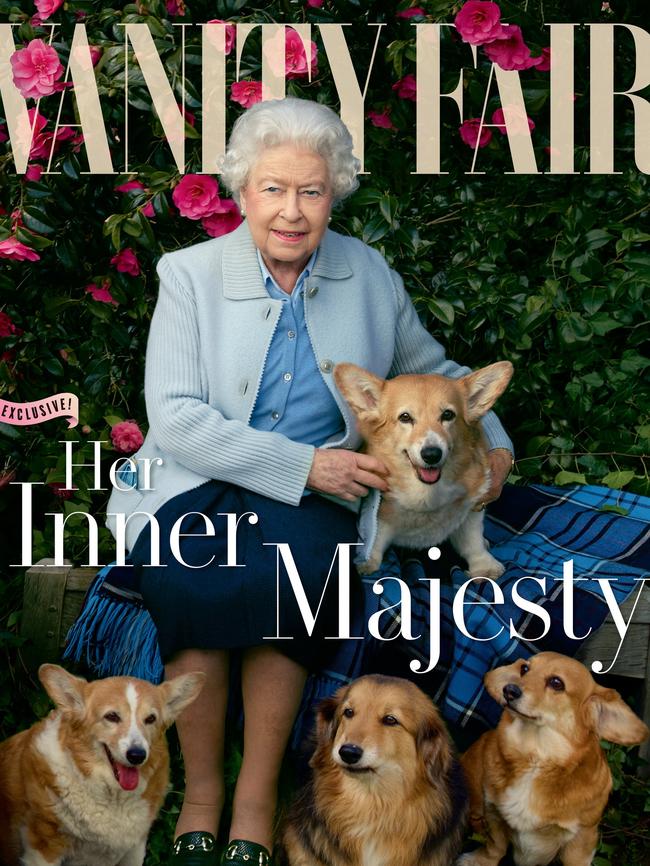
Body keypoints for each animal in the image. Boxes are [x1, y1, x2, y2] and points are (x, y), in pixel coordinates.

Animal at [0, 660, 202, 864]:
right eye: (112, 716)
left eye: (150, 719)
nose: (137, 755)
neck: (112, 796)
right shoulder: (43, 850)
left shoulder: (134, 851)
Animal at [334, 358, 512, 572]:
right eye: (405, 417)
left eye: (447, 415)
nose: (432, 454)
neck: (426, 493)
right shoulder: (381, 518)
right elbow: (375, 540)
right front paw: (367, 563)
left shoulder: (471, 507)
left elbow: (473, 540)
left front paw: (485, 566)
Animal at [458, 648, 644, 864]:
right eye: (524, 669)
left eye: (556, 683)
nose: (509, 690)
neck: (536, 758)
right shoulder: (494, 813)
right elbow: (495, 845)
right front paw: (481, 860)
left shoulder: (582, 837)